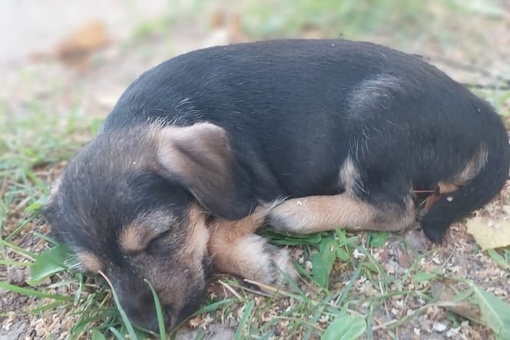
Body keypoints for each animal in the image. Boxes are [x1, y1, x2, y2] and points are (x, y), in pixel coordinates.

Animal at [43, 39, 510, 330]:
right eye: (96, 273)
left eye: (160, 237)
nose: (148, 327)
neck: (150, 113)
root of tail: (482, 110)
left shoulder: (255, 191)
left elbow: (214, 236)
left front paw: (262, 263)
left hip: (375, 116)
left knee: (395, 210)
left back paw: (300, 212)